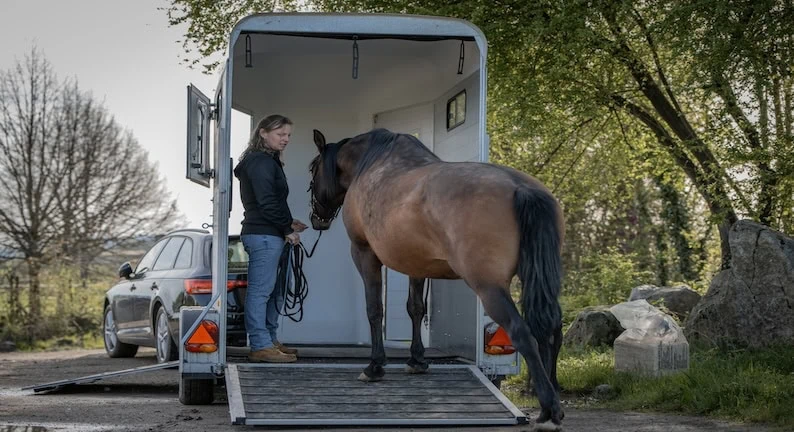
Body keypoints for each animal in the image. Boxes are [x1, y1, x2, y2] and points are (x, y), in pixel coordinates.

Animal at [308, 128, 565, 430]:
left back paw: (549, 409)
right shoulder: (416, 265)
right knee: (551, 330)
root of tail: (520, 187)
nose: (316, 218)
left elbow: (374, 309)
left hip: (489, 287)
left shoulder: (364, 254)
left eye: (312, 168)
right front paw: (417, 360)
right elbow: (416, 309)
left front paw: (375, 366)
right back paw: (550, 394)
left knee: (522, 332)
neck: (371, 165)